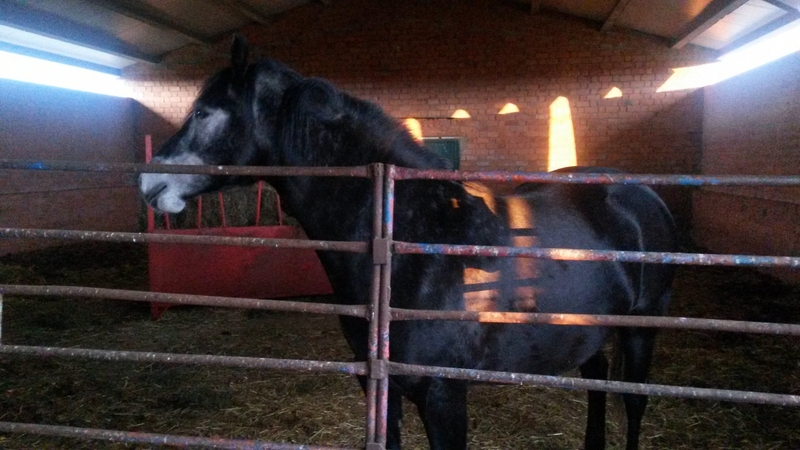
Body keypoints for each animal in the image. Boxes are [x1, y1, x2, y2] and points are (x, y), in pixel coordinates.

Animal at [139, 35, 677, 450]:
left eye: (204, 112)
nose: (146, 182)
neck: (414, 243)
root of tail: (641, 194)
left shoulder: (443, 395)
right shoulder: (381, 387)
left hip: (642, 328)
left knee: (633, 399)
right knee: (598, 378)